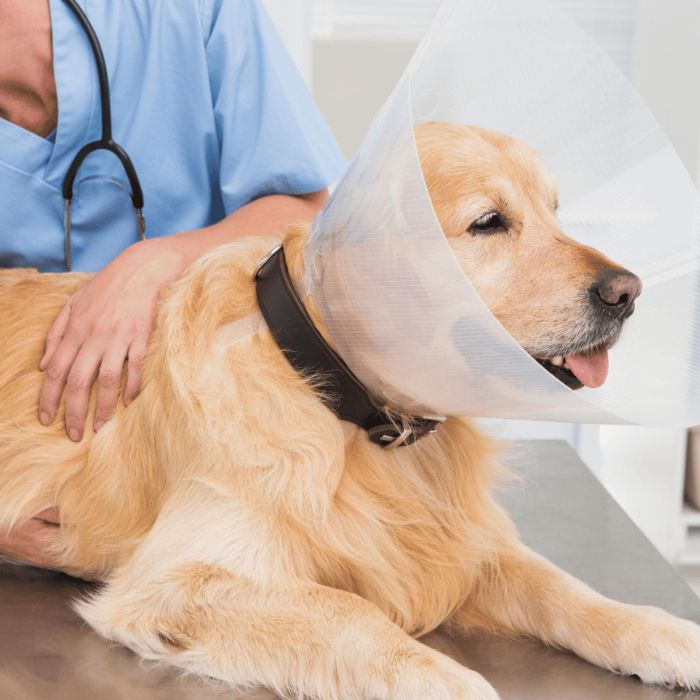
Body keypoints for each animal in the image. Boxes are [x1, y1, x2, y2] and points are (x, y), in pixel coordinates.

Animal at [1, 123, 696, 696]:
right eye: (489, 222)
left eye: (555, 213)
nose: (627, 292)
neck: (336, 391)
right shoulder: (175, 579)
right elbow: (352, 612)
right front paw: (449, 681)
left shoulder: (465, 542)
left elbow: (566, 589)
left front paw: (665, 633)